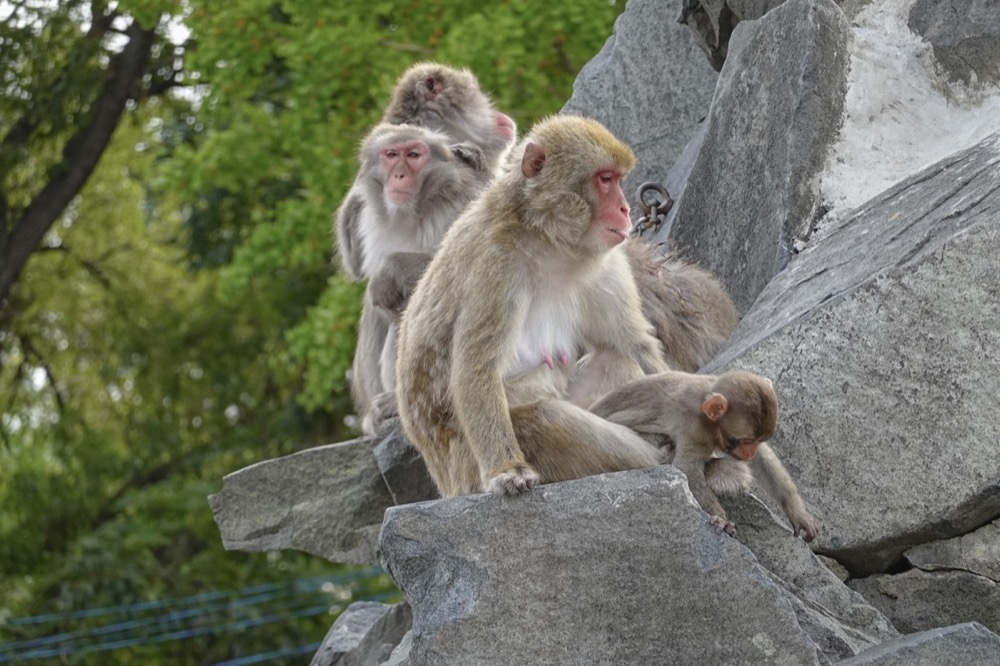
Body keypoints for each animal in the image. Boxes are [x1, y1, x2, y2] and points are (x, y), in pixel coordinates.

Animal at [396, 115, 680, 498]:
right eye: (604, 179)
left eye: (618, 179)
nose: (625, 209)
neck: (545, 235)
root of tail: (446, 483)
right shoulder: (495, 263)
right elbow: (475, 368)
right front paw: (508, 471)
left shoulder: (607, 261)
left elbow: (635, 343)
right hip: (467, 470)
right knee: (543, 418)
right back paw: (656, 454)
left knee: (616, 356)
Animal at [588, 368, 816, 540]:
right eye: (745, 441)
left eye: (757, 441)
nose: (748, 453)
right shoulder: (695, 427)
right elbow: (687, 469)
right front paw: (720, 517)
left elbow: (763, 461)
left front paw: (797, 512)